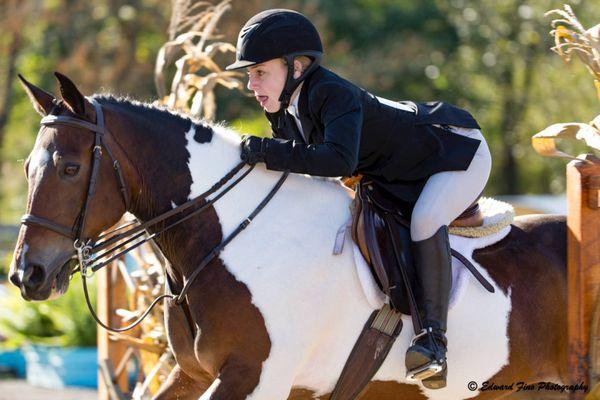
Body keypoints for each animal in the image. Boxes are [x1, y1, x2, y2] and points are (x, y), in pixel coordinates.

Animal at [10, 72, 568, 400]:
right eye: (27, 167)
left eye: (69, 168)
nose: (26, 275)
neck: (229, 238)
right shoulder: (192, 374)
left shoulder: (257, 376)